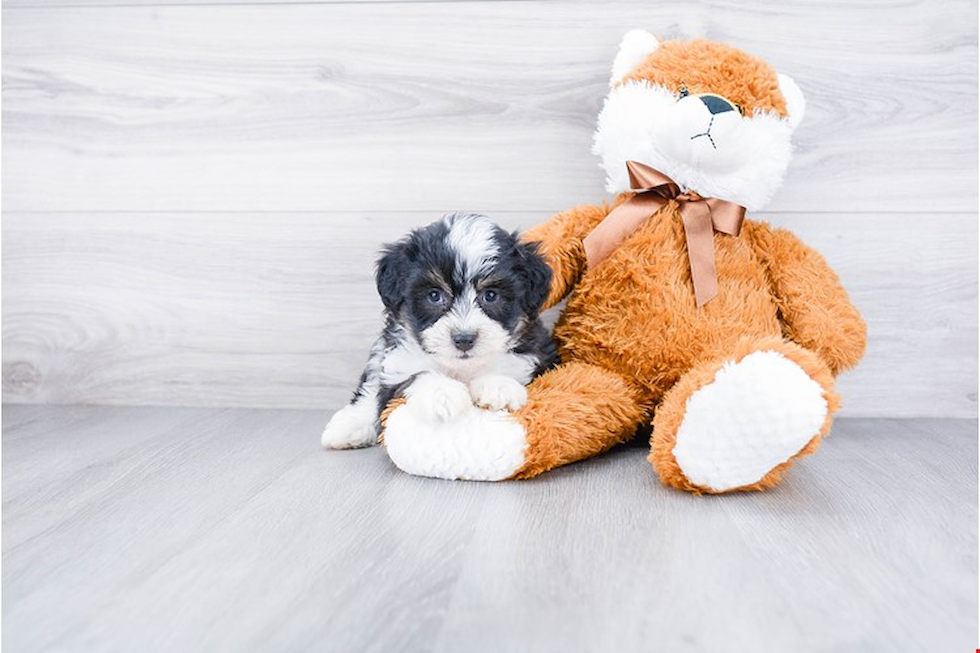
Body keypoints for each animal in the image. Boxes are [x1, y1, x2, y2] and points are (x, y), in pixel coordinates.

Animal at [320, 214, 556, 448]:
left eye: (490, 295)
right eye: (434, 295)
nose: (464, 339)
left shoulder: (537, 353)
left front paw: (498, 386)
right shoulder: (397, 362)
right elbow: (414, 374)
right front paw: (442, 393)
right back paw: (349, 426)